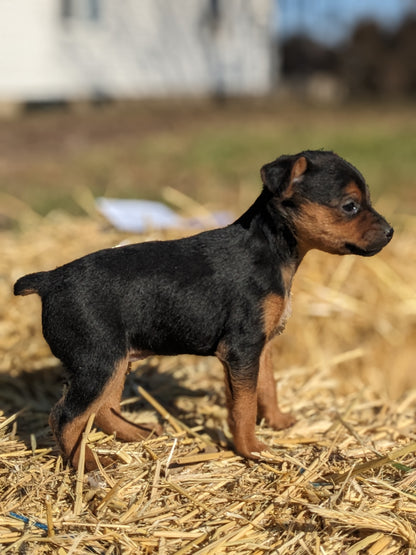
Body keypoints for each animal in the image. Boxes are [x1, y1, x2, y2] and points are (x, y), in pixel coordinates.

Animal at [13, 150, 394, 472]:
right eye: (350, 206)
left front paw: (278, 422)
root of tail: (50, 280)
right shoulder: (240, 349)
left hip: (114, 361)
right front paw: (252, 449)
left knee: (104, 409)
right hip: (97, 362)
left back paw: (140, 434)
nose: (391, 233)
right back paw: (87, 464)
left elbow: (267, 387)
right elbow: (243, 406)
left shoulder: (261, 346)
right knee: (66, 417)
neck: (270, 250)